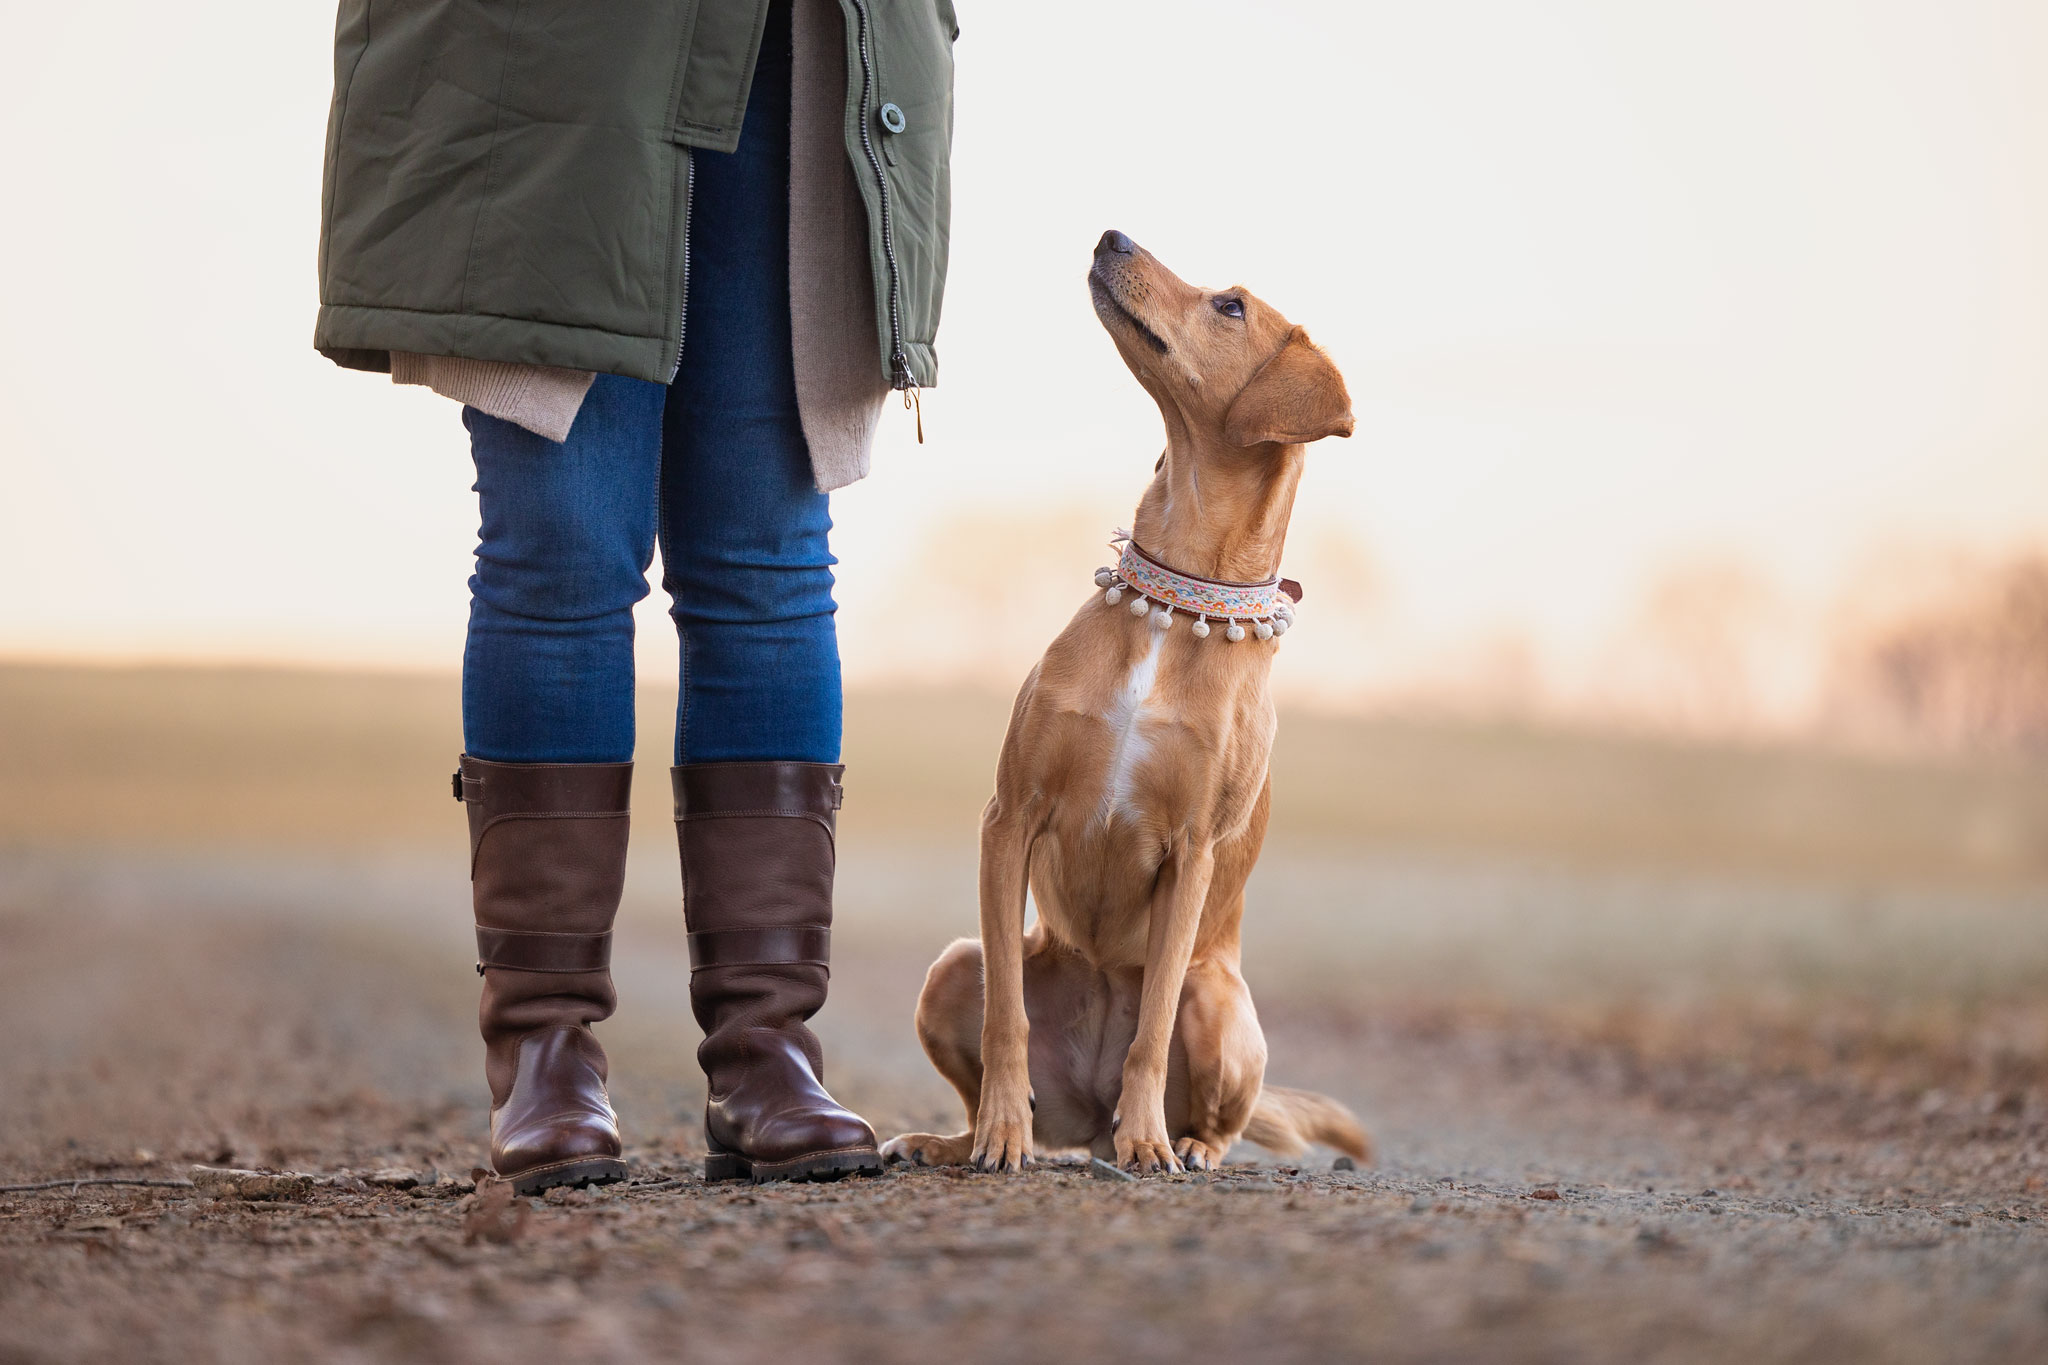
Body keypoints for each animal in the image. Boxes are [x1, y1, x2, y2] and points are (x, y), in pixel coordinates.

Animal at [884, 227, 1376, 1178]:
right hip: (953, 963)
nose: (1111, 235)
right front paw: (1001, 1132)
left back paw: (1178, 1141)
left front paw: (1149, 1139)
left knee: (1212, 1104)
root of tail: (1086, 1114)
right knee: (995, 1027)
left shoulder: (1192, 853)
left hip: (1220, 1002)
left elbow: (1150, 1029)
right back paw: (951, 1138)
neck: (1177, 600)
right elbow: (1008, 1018)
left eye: (1230, 305)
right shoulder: (1010, 817)